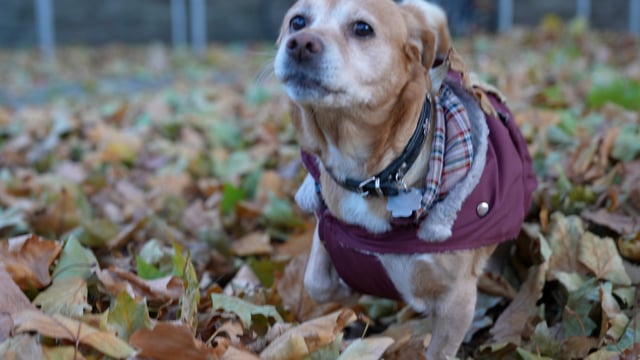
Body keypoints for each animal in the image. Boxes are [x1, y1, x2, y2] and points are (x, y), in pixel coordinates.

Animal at [272, 0, 536, 358]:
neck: (372, 177)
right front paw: (346, 292)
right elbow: (318, 282)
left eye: (362, 28)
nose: (300, 43)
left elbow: (439, 349)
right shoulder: (326, 228)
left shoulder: (458, 300)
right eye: (297, 22)